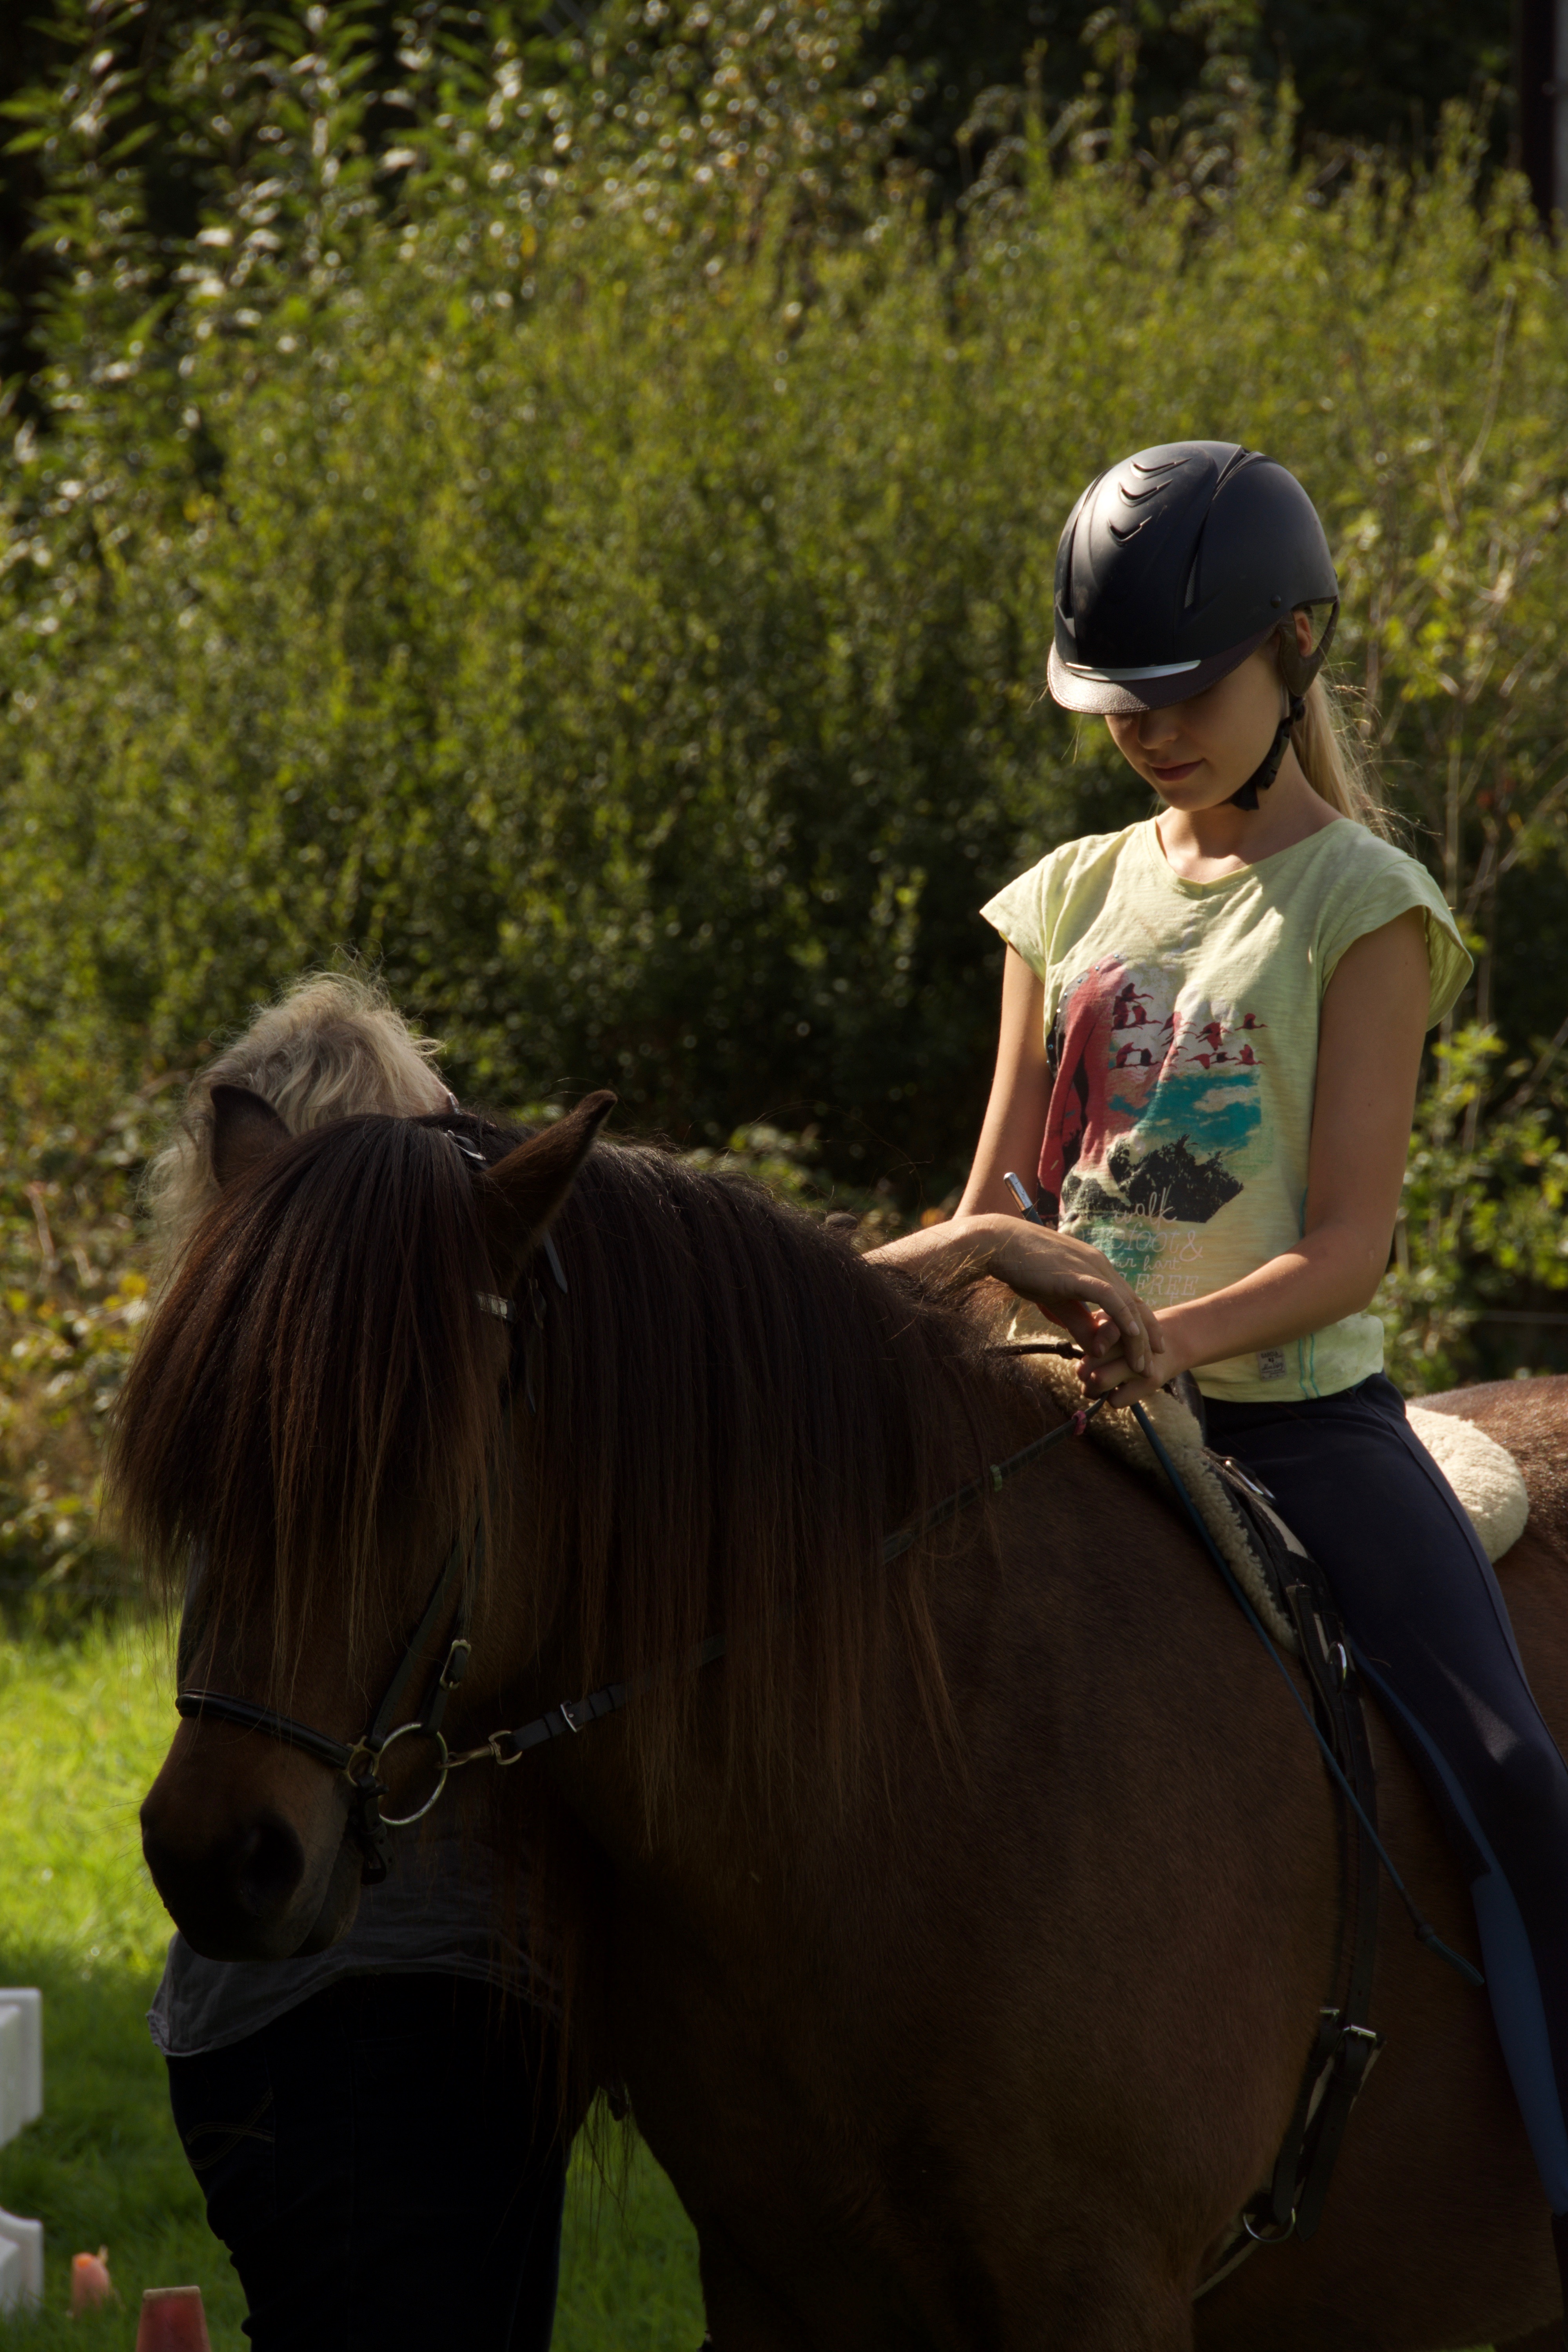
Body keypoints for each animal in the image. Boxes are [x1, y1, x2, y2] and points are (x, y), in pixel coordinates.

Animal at [117, 1085, 1568, 2351]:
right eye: (197, 1457)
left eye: (409, 1455)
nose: (215, 1856)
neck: (923, 1784)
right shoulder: (779, 2286)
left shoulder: (1097, 2296)